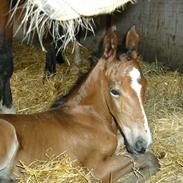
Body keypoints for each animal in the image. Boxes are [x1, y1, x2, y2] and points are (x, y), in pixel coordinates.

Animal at [0, 26, 159, 183]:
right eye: (114, 91)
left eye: (145, 85)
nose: (142, 144)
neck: (87, 117)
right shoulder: (97, 169)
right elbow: (149, 159)